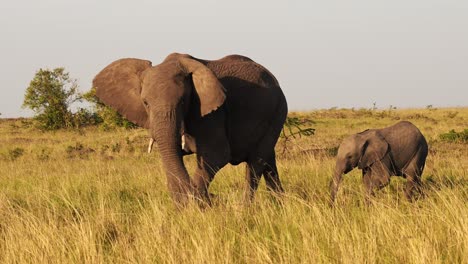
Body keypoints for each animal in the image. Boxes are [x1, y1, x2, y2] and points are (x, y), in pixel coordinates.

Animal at [93, 53, 288, 205]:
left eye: (183, 101)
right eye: (145, 103)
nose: (215, 198)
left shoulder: (212, 112)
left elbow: (216, 154)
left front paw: (195, 204)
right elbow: (171, 153)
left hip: (278, 111)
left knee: (256, 162)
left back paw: (245, 210)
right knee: (268, 160)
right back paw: (279, 205)